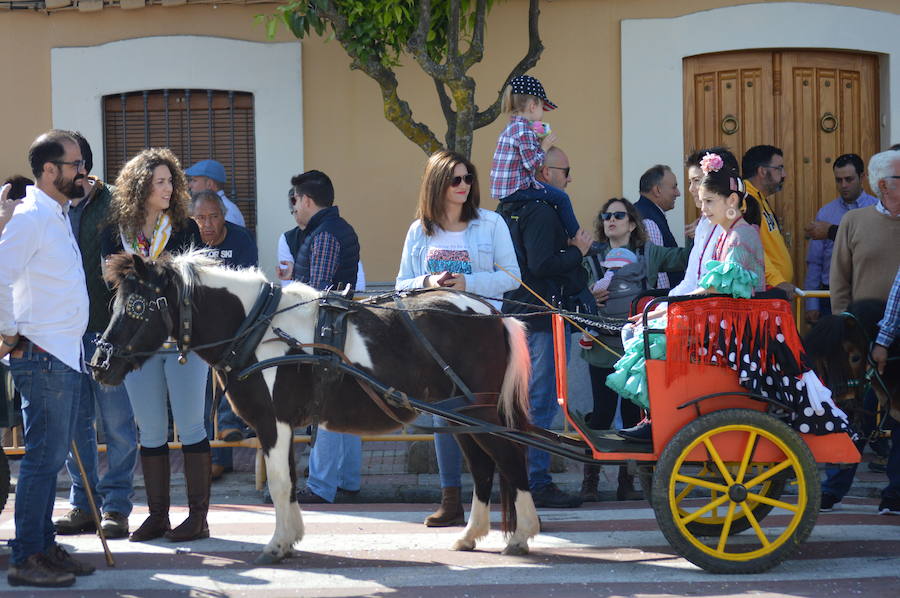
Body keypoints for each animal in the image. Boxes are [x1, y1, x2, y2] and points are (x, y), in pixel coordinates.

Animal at [91, 251, 540, 564]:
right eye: (115, 303)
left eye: (136, 306)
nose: (99, 364)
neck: (258, 328)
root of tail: (492, 314)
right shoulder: (284, 426)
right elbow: (288, 482)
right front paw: (290, 539)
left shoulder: (272, 423)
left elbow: (278, 484)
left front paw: (276, 545)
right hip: (459, 416)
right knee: (482, 469)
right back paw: (470, 535)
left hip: (480, 413)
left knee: (511, 459)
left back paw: (521, 535)